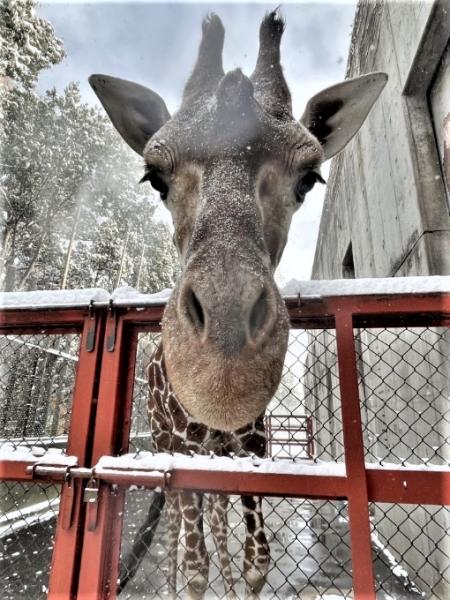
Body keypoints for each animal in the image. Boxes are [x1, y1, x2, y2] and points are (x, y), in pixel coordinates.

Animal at [90, 10, 386, 600]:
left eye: (310, 177)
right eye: (153, 177)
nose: (223, 375)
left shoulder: (249, 445)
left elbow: (255, 559)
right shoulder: (178, 449)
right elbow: (193, 563)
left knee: (219, 522)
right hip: (167, 442)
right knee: (180, 534)